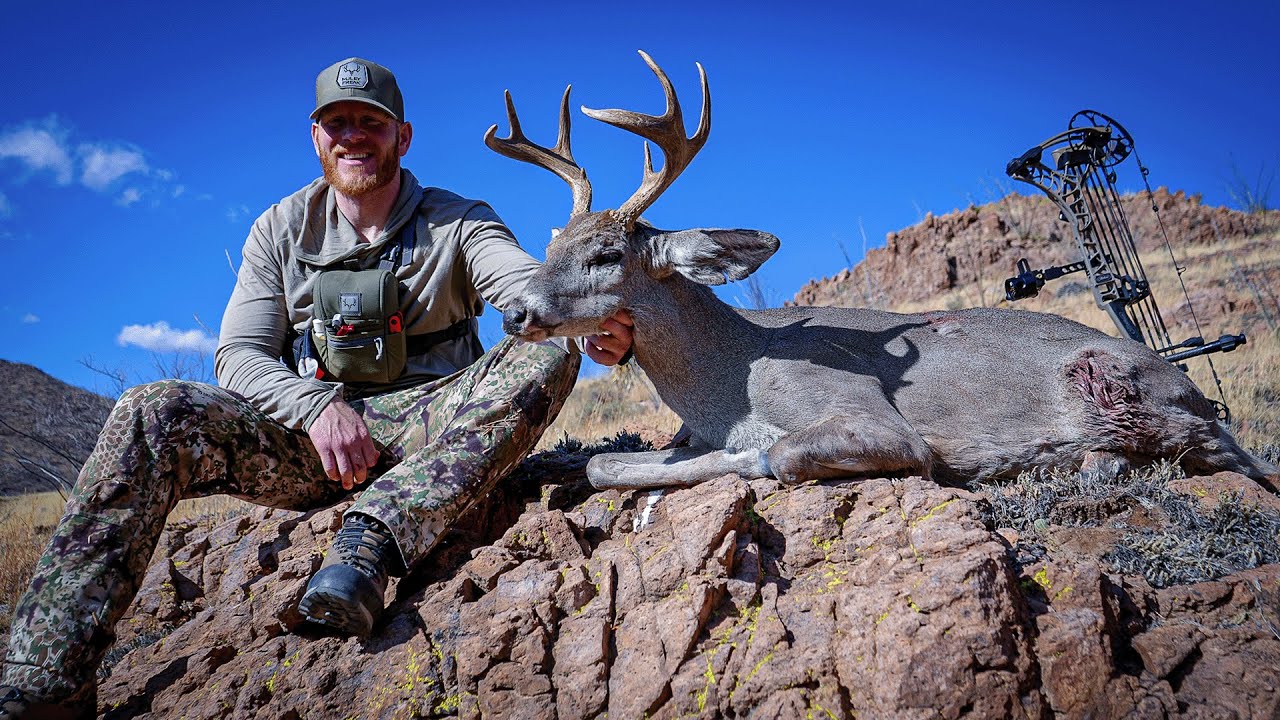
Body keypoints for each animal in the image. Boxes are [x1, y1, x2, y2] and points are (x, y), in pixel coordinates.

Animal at [486, 51, 1278, 491]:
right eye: (549, 243)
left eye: (605, 255)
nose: (515, 311)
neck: (727, 378)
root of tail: (1191, 389)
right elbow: (604, 465)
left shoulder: (867, 416)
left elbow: (779, 454)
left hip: (1125, 385)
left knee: (1211, 456)